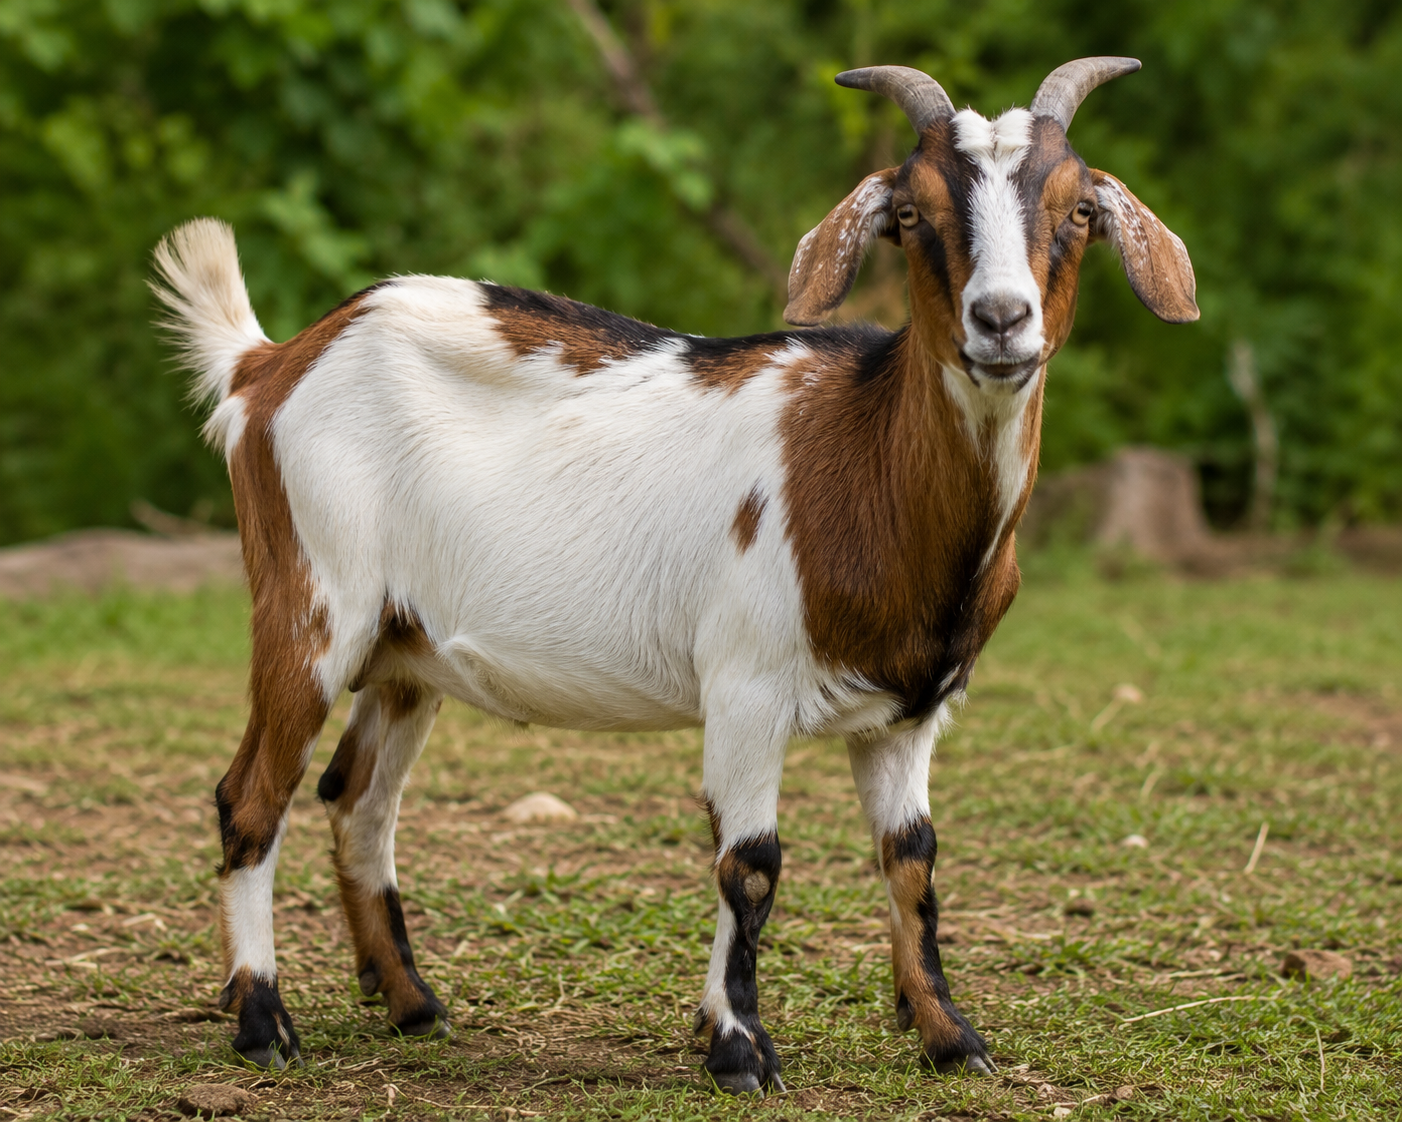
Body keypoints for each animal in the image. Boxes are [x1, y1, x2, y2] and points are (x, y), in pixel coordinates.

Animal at [152, 57, 1196, 1092]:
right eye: (911, 213)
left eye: (1079, 211)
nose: (1001, 319)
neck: (860, 458)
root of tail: (267, 365)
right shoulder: (745, 686)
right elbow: (752, 862)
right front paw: (738, 1046)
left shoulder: (910, 713)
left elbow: (913, 860)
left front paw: (950, 1036)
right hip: (312, 606)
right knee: (253, 798)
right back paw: (263, 1021)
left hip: (406, 654)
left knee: (359, 803)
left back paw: (414, 1004)